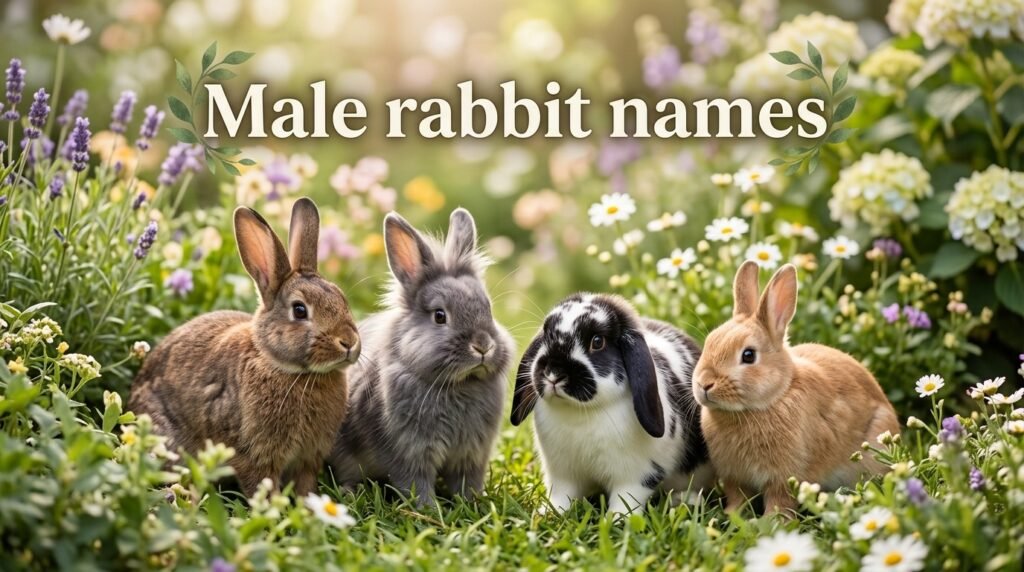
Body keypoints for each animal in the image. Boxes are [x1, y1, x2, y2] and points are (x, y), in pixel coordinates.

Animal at [128, 198, 360, 497]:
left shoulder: (309, 458)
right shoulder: (253, 455)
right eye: (299, 310)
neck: (293, 371)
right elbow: (261, 485)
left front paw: (307, 504)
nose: (349, 342)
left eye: (342, 298)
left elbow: (304, 485)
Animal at [329, 208, 514, 505]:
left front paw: (472, 503)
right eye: (440, 316)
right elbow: (415, 482)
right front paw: (428, 508)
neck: (457, 386)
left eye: (489, 309)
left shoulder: (472, 455)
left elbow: (467, 482)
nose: (483, 346)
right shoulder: (409, 452)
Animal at [511, 293, 712, 514]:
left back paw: (685, 501)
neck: (581, 412)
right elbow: (561, 495)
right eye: (546, 335)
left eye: (597, 342)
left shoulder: (636, 476)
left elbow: (626, 499)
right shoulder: (562, 473)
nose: (553, 373)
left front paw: (617, 518)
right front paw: (548, 514)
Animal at [692, 261, 900, 515]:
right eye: (709, 342)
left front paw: (770, 521)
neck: (773, 398)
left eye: (748, 355)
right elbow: (737, 497)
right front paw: (732, 516)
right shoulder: (734, 476)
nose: (704, 383)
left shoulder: (785, 476)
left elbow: (779, 502)